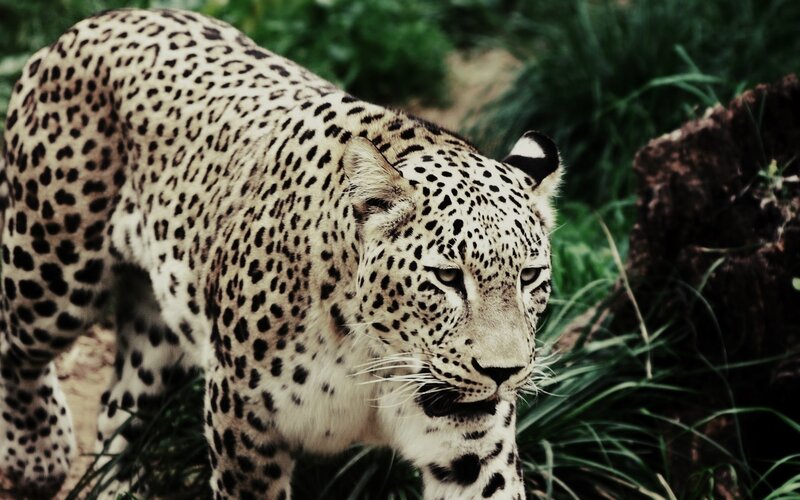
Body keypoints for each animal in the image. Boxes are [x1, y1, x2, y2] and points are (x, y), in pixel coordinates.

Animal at [0, 8, 561, 499]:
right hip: (49, 272)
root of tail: (99, 20)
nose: (503, 372)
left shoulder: (472, 449)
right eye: (447, 278)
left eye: (530, 276)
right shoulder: (241, 418)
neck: (375, 358)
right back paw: (40, 457)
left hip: (160, 325)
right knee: (15, 349)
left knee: (116, 408)